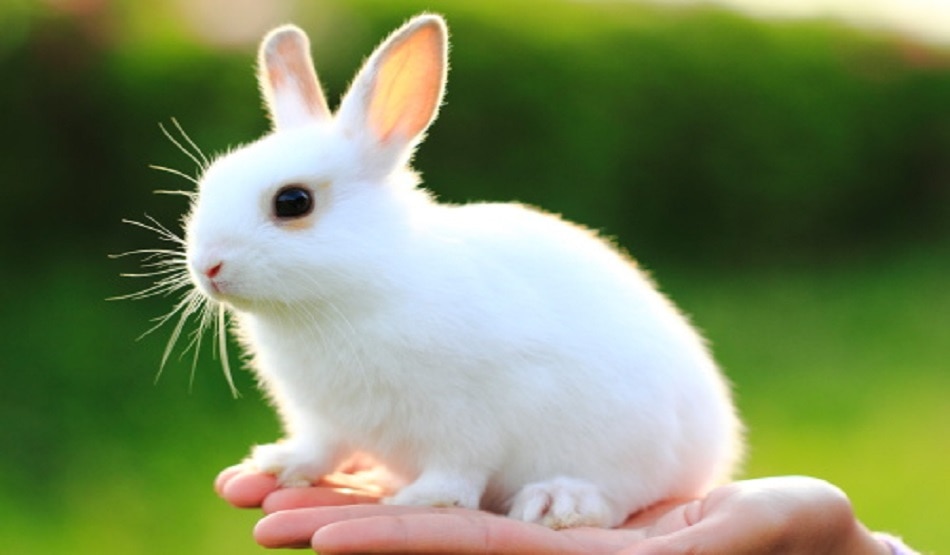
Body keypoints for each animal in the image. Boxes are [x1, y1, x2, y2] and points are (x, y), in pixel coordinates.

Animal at [182, 13, 742, 529]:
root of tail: (715, 449)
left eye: (293, 202)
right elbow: (323, 448)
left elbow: (459, 468)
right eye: (210, 183)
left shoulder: (466, 421)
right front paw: (278, 464)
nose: (208, 267)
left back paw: (559, 502)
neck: (367, 281)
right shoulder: (324, 419)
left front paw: (425, 500)